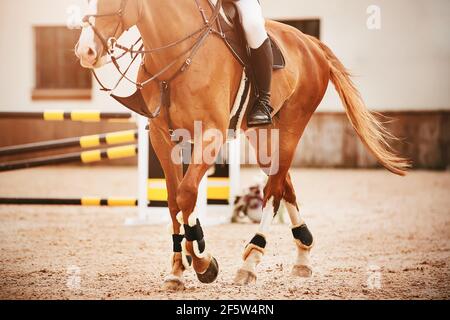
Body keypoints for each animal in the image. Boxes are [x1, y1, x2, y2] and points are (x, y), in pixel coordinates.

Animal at [76, 0, 408, 290]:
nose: (85, 52)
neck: (178, 54)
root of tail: (311, 44)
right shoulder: (161, 135)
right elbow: (173, 202)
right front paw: (177, 270)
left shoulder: (211, 134)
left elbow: (186, 195)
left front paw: (203, 261)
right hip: (263, 138)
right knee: (283, 183)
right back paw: (302, 253)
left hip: (290, 127)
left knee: (273, 192)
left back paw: (251, 260)